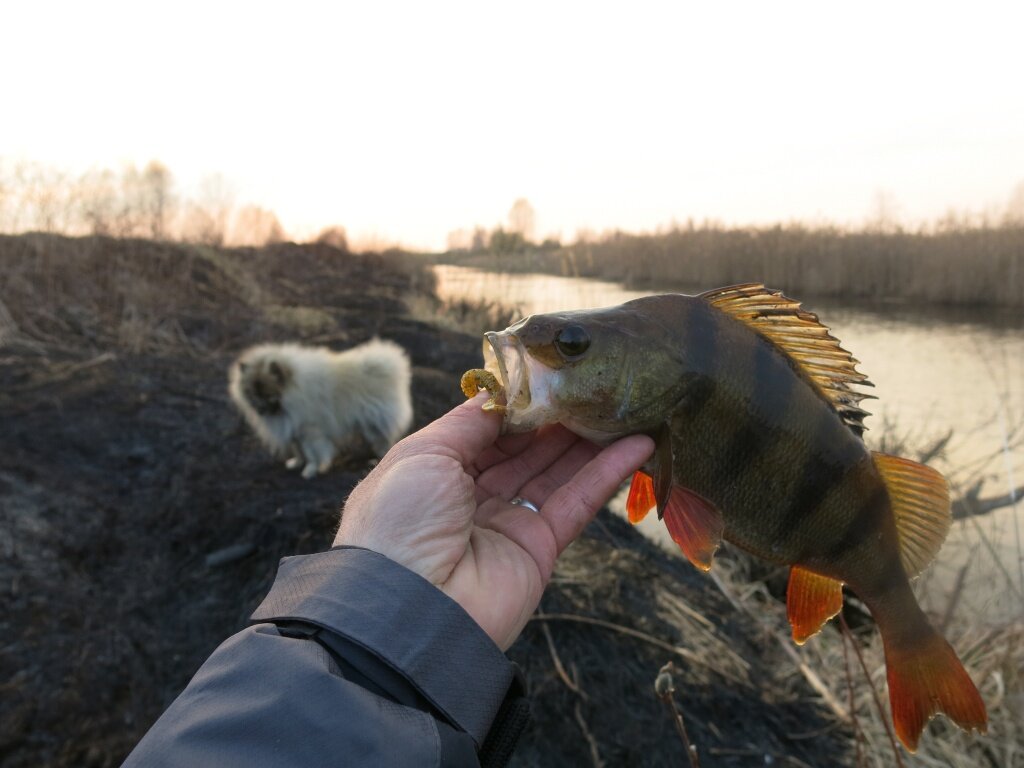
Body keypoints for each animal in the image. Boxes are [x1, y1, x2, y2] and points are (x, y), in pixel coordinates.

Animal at [229, 339, 411, 479]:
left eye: (268, 394)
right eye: (251, 393)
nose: (258, 408)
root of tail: (387, 367)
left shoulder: (310, 430)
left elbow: (311, 453)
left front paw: (310, 469)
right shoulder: (294, 428)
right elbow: (298, 450)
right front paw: (296, 463)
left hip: (372, 422)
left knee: (384, 440)